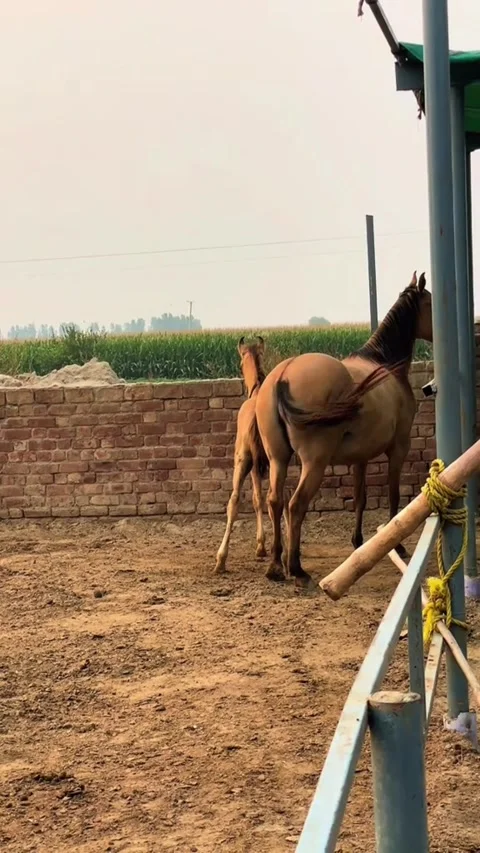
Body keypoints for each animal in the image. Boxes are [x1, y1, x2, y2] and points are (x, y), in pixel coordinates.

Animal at [255, 271, 433, 590]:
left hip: (278, 459)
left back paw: (276, 565)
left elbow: (360, 498)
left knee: (275, 502)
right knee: (296, 505)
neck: (384, 364)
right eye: (431, 303)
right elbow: (393, 495)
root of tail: (282, 375)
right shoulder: (398, 449)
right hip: (314, 463)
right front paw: (398, 545)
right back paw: (296, 568)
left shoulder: (359, 458)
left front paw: (358, 541)